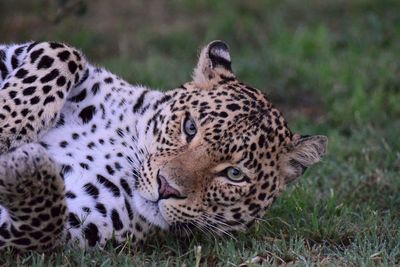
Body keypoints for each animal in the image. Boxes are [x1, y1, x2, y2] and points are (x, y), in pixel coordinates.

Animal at [0, 39, 326, 251]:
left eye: (234, 174)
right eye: (190, 127)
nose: (167, 187)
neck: (125, 139)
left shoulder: (77, 222)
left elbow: (45, 225)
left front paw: (25, 166)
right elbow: (61, 52)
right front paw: (10, 126)